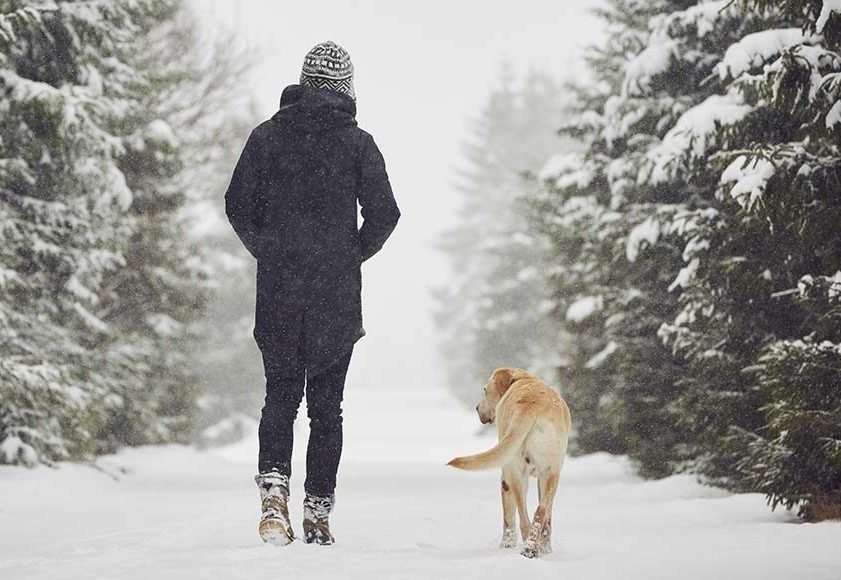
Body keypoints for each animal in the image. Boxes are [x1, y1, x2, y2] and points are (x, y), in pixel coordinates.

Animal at [446, 368, 572, 556]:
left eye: (485, 390)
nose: (476, 408)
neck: (522, 380)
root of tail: (531, 404)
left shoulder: (505, 478)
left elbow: (508, 518)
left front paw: (506, 545)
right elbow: (547, 520)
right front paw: (546, 549)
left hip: (514, 474)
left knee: (523, 518)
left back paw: (527, 547)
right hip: (551, 474)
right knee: (541, 512)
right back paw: (533, 548)